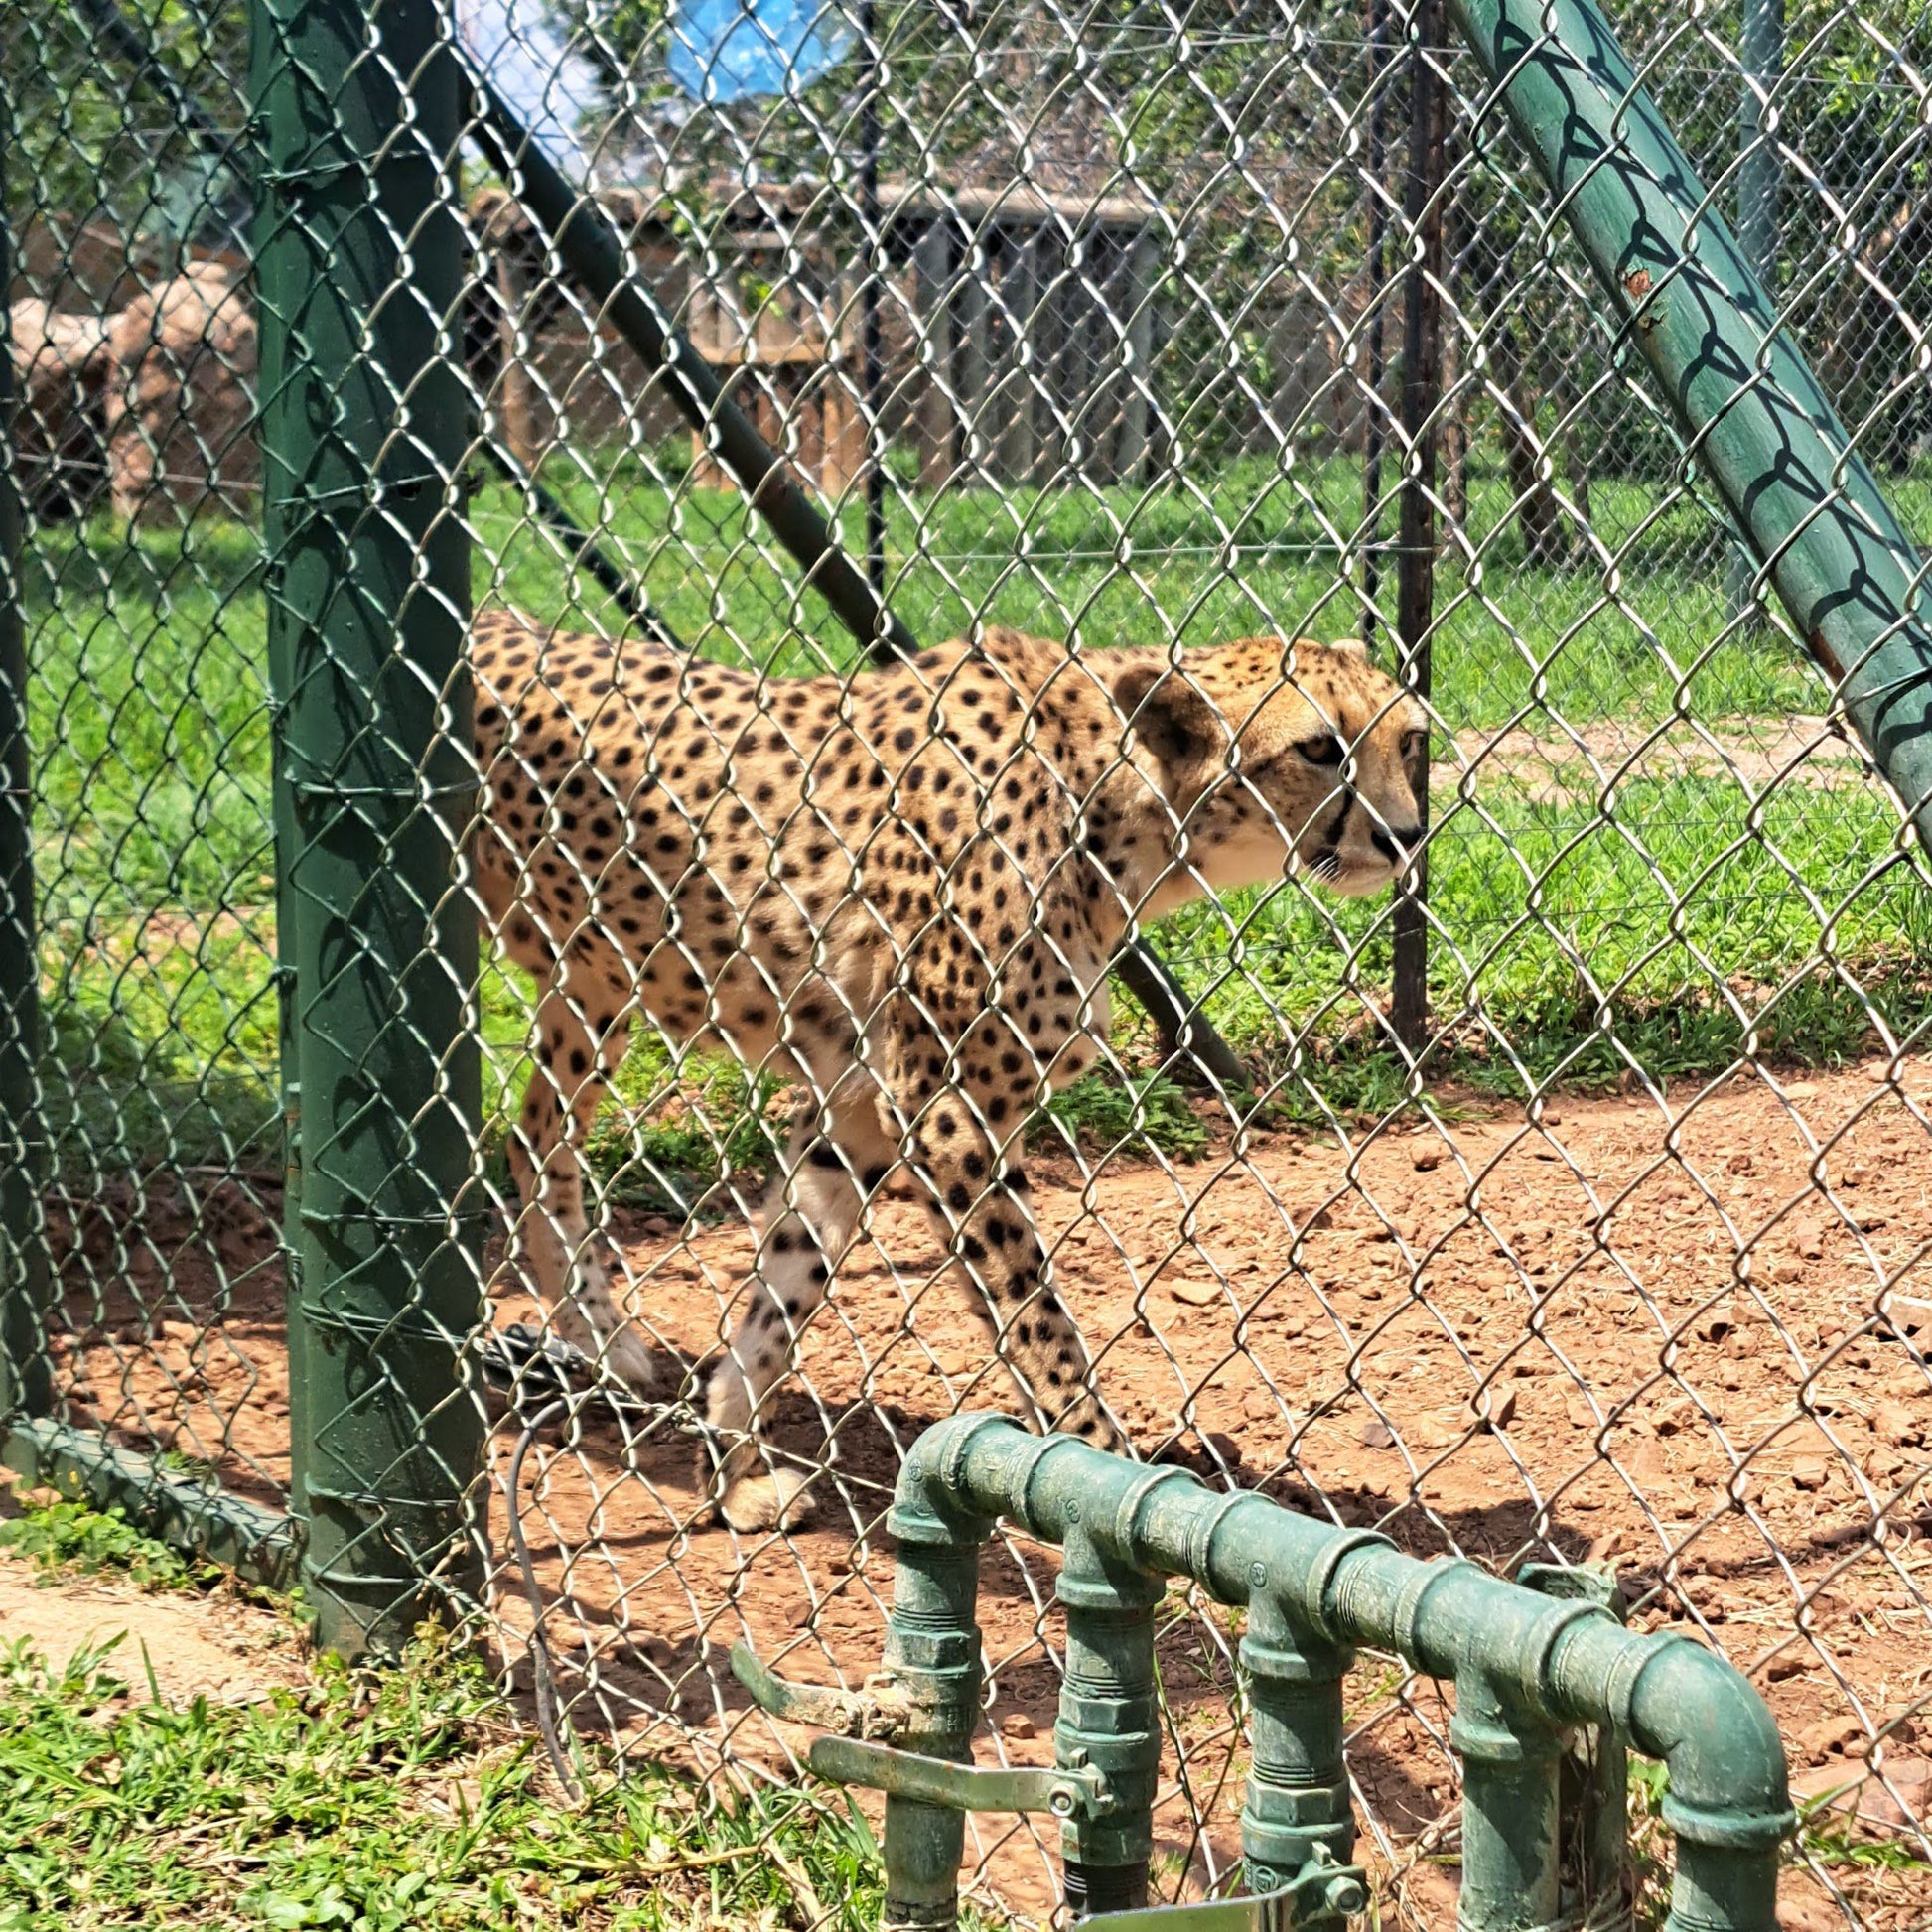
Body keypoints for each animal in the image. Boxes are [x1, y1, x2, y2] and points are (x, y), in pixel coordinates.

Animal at [475, 614, 1430, 1522]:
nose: (1407, 834)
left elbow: (786, 1287)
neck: (1114, 810)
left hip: (596, 983)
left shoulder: (858, 1108)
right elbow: (1031, 1313)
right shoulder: (944, 1110)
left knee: (535, 1135)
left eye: (1410, 739)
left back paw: (593, 1338)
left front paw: (731, 1466)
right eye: (1319, 748)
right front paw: (1101, 1473)